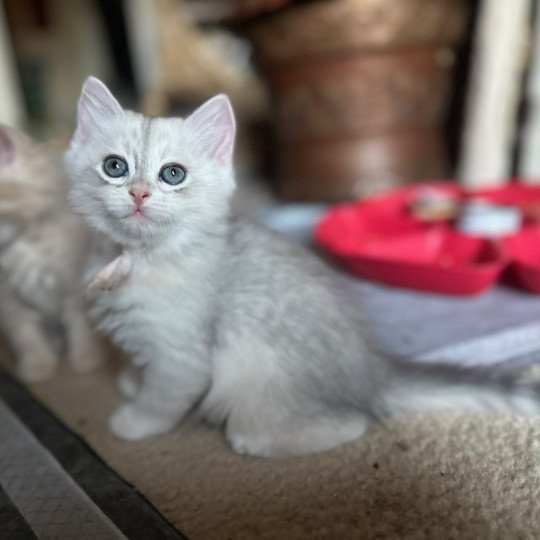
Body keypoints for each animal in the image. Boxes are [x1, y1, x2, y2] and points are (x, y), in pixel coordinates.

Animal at [0, 124, 105, 382]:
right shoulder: (8, 299)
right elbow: (25, 332)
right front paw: (37, 363)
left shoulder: (77, 283)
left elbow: (79, 324)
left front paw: (86, 356)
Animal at [66, 76, 540, 456]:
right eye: (115, 167)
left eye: (172, 174)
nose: (138, 193)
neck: (137, 258)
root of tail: (373, 369)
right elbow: (142, 368)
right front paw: (131, 379)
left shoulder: (182, 358)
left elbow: (161, 399)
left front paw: (132, 420)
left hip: (257, 385)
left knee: (348, 423)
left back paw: (257, 441)